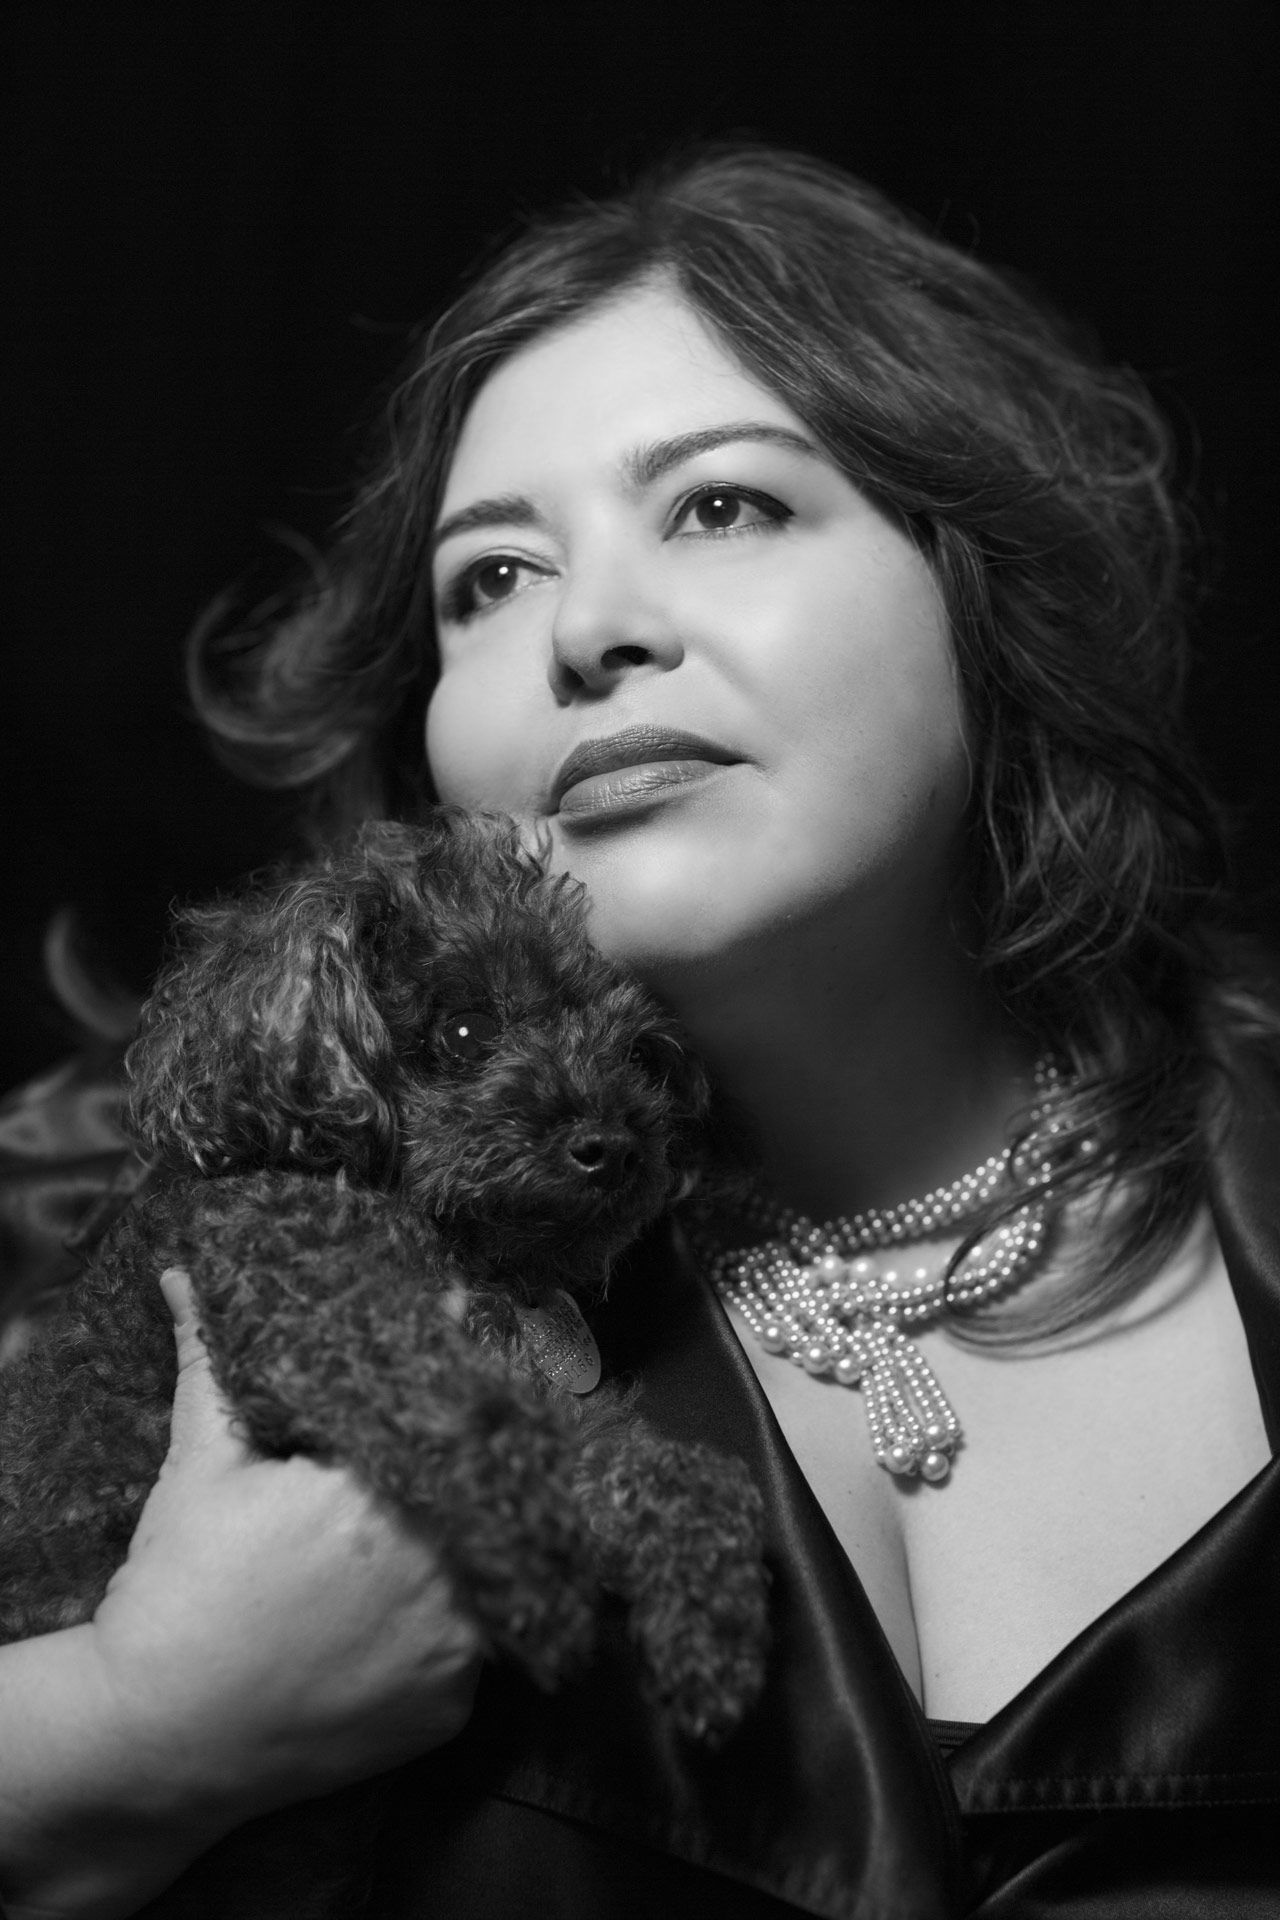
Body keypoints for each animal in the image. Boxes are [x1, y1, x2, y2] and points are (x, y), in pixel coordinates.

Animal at [0, 814, 767, 1920]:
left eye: (637, 1054)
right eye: (464, 1033)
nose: (614, 1147)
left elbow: (636, 1461)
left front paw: (711, 1615)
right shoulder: (332, 1329)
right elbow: (513, 1439)